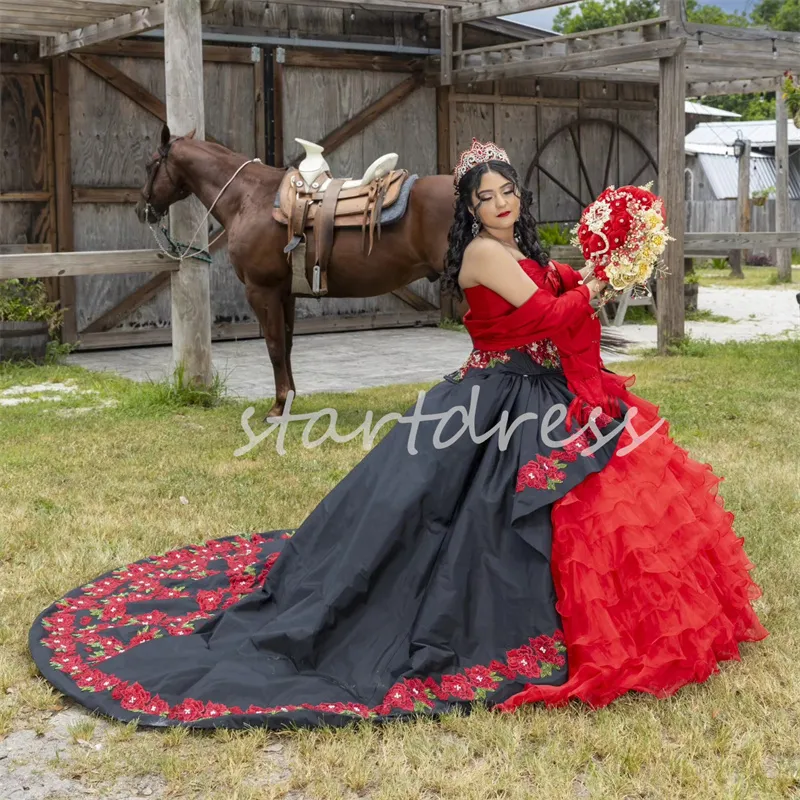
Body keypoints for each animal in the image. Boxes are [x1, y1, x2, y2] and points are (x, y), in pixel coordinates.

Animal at [138, 125, 456, 418]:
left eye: (150, 165)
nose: (142, 209)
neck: (249, 198)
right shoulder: (286, 292)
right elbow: (287, 344)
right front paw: (289, 399)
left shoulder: (261, 290)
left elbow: (275, 346)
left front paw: (278, 407)